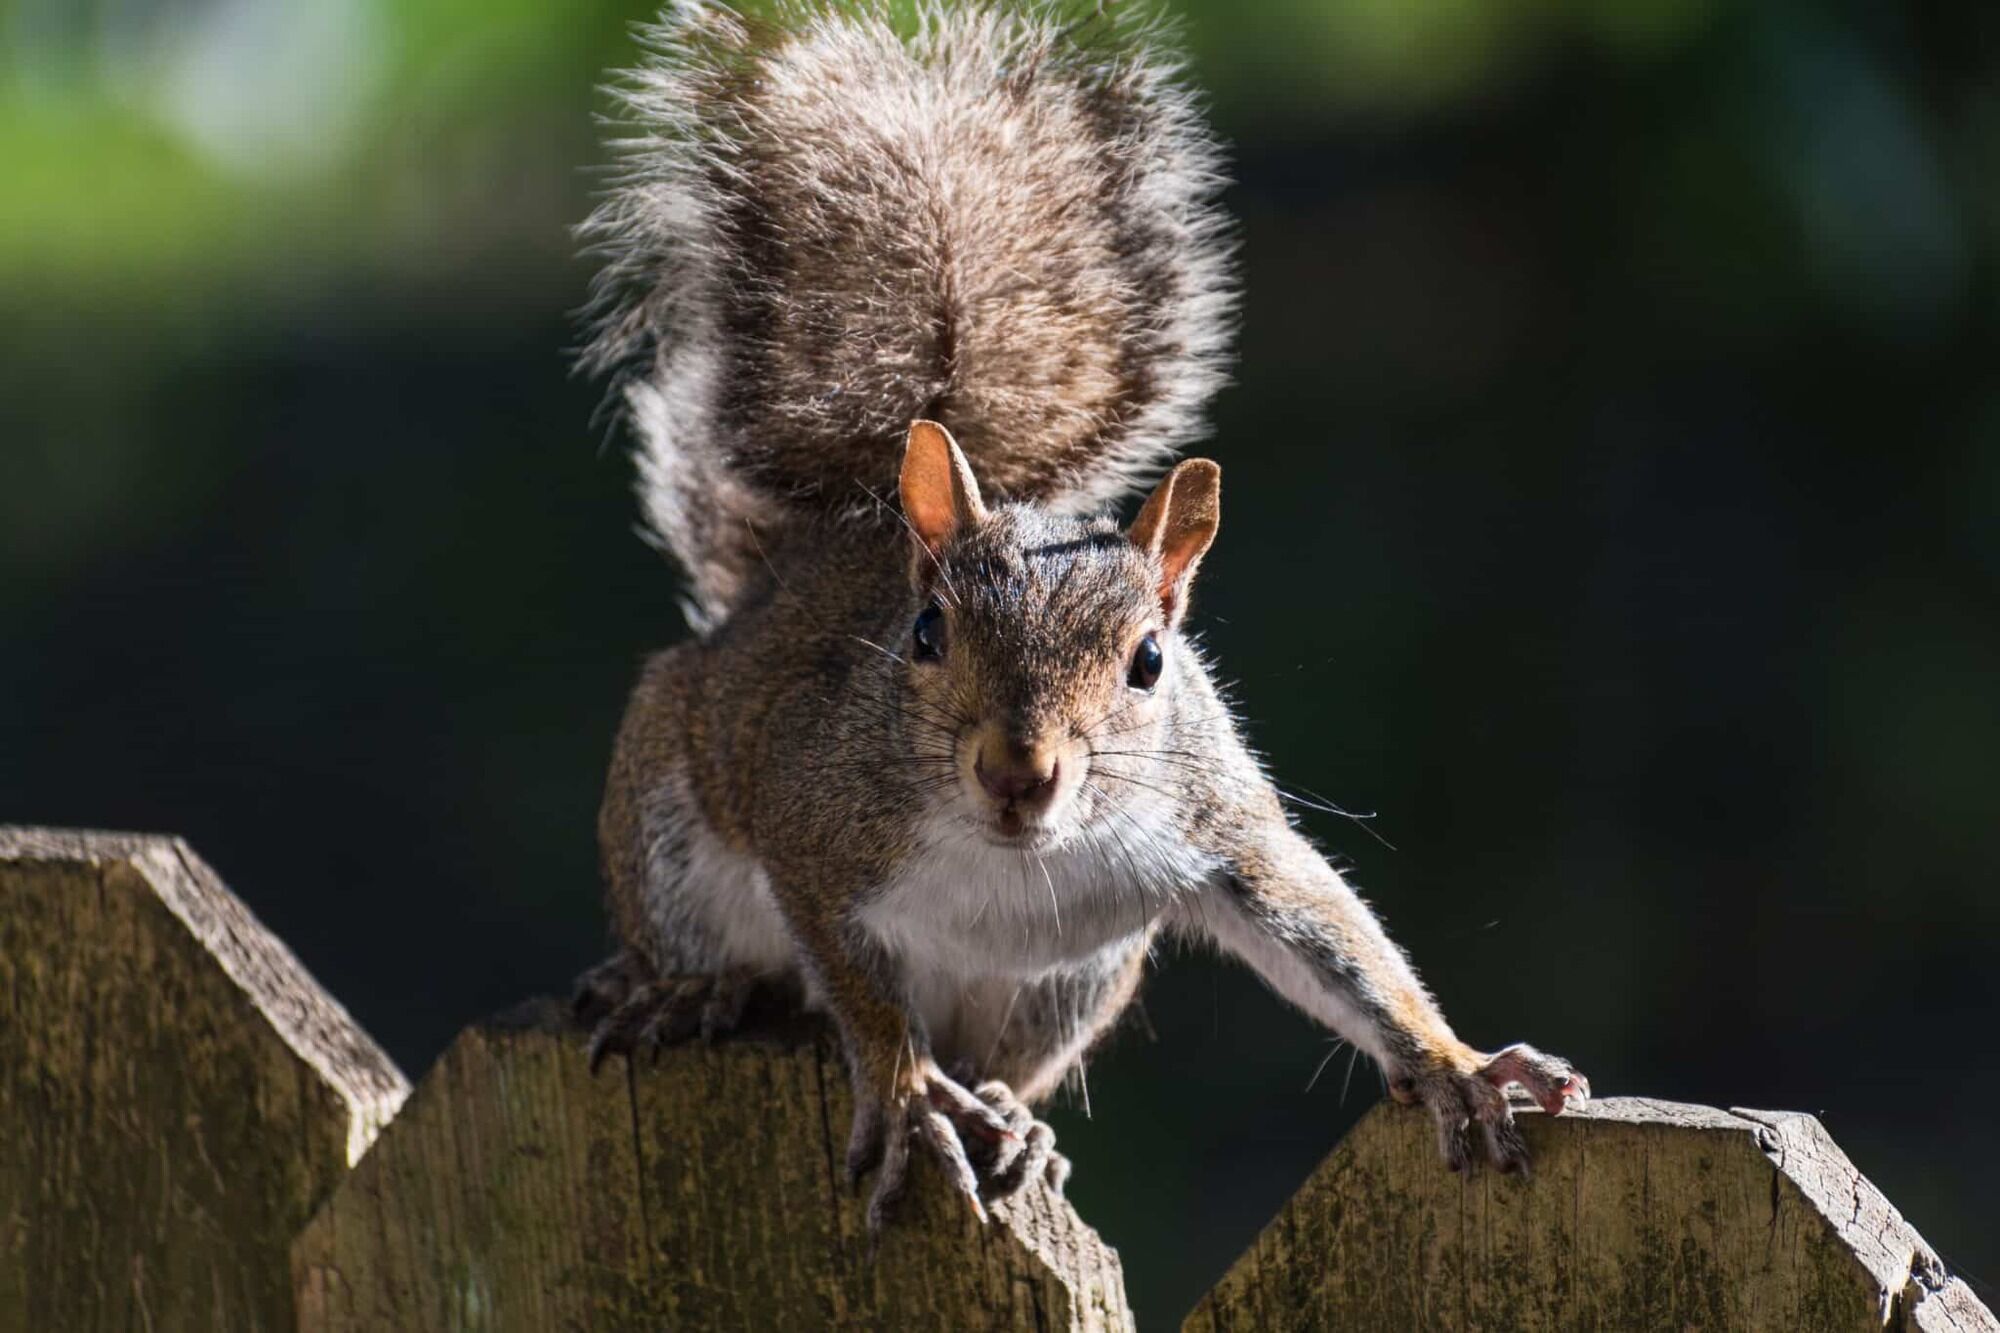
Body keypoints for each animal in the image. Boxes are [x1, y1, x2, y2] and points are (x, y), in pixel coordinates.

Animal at [572, 0, 1584, 1224]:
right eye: (925, 634)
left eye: (1150, 660)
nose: (1018, 773)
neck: (1006, 854)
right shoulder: (809, 824)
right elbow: (861, 996)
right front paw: (907, 1095)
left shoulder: (1218, 829)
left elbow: (1330, 934)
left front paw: (1457, 1066)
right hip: (667, 831)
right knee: (716, 952)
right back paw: (686, 993)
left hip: (1072, 982)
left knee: (1011, 1064)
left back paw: (1018, 1122)